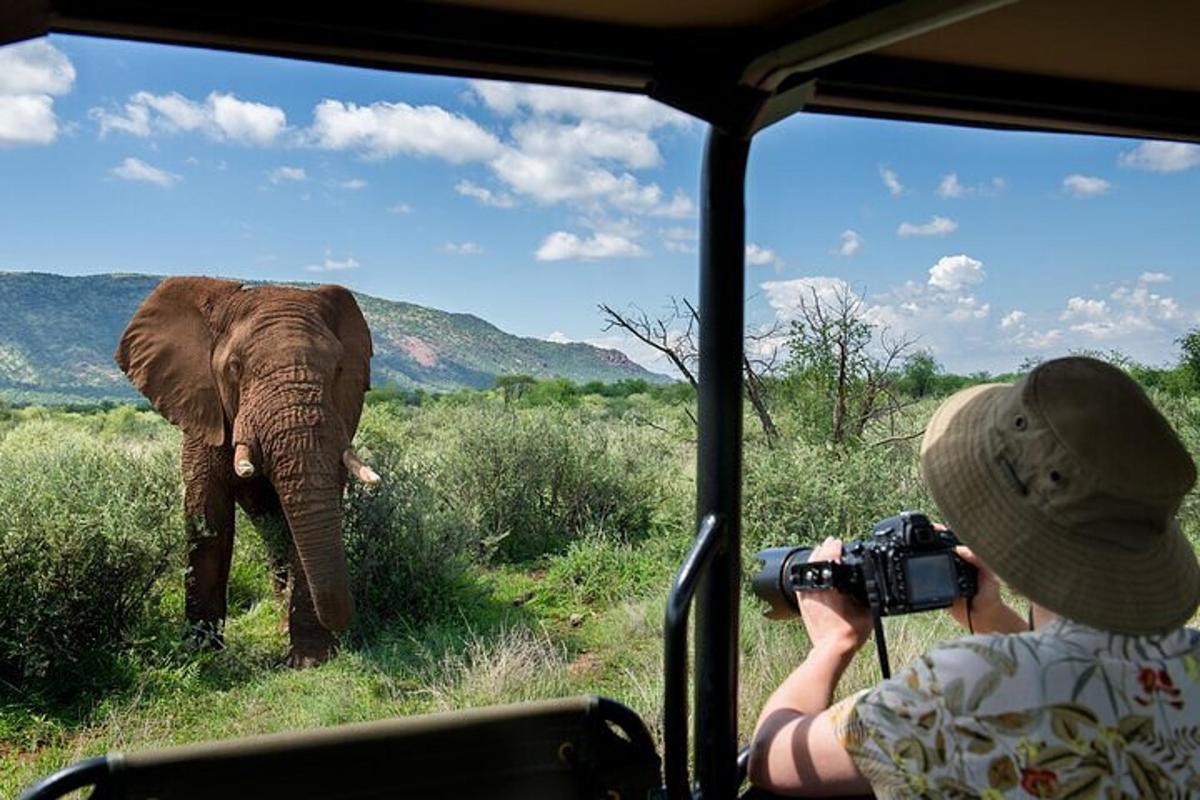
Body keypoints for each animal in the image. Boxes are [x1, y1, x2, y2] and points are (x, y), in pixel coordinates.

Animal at [113, 278, 374, 666]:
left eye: (339, 368)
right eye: (234, 367)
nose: (348, 621)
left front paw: (311, 661)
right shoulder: (203, 409)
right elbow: (209, 519)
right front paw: (202, 654)